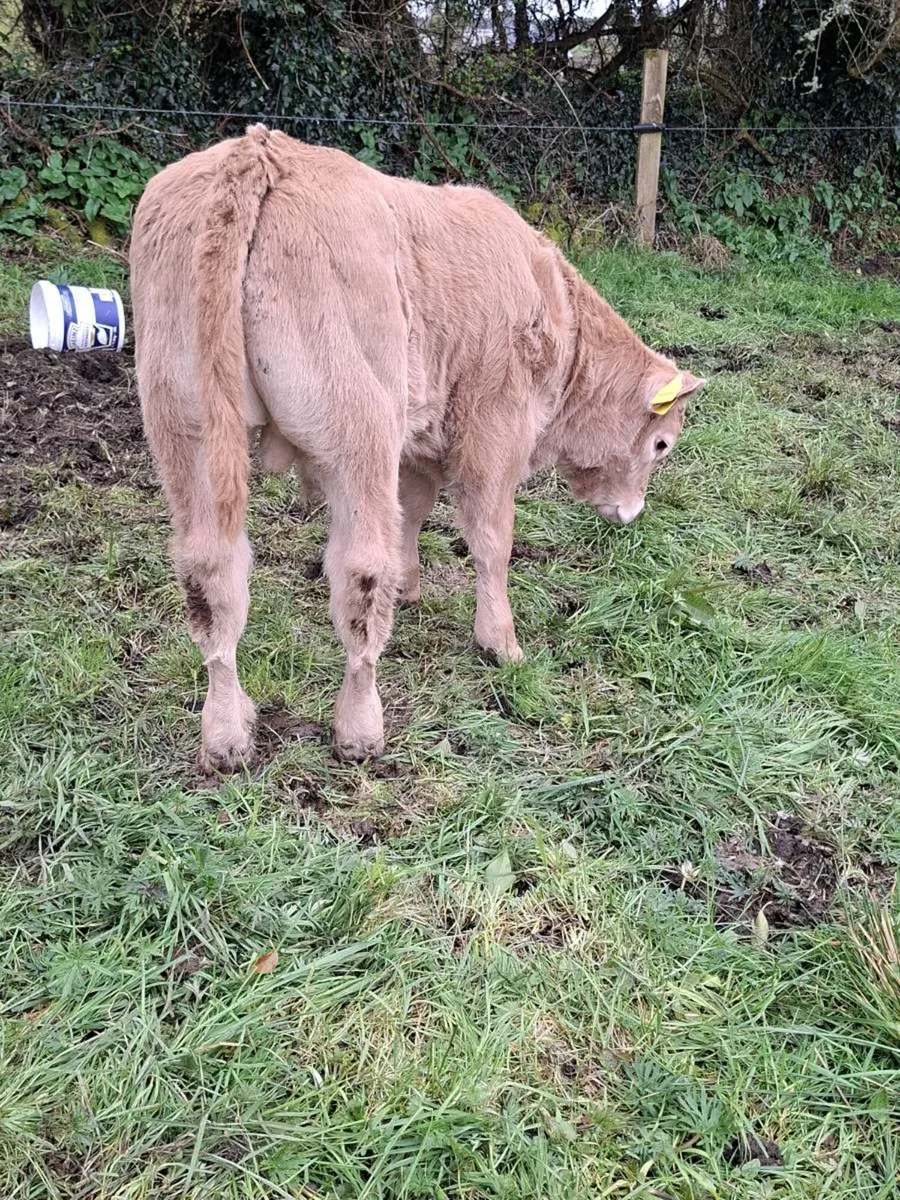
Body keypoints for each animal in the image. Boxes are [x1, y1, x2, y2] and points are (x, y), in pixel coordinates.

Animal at [130, 125, 704, 770]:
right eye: (662, 444)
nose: (631, 513)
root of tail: (258, 150)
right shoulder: (492, 431)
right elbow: (491, 540)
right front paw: (500, 642)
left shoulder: (421, 441)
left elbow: (414, 511)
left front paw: (409, 589)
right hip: (356, 433)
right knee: (357, 572)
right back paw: (359, 729)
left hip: (189, 431)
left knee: (211, 575)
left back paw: (227, 733)